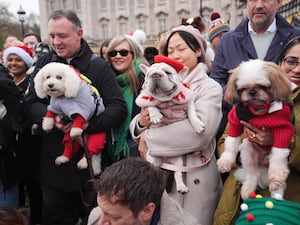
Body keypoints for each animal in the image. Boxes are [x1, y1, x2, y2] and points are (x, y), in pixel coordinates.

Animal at [217, 59, 294, 200]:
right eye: (243, 88)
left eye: (262, 86)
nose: (252, 92)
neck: (259, 110)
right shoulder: (235, 121)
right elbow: (231, 143)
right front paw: (226, 162)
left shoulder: (283, 129)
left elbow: (278, 156)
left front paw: (276, 177)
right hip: (247, 149)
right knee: (253, 173)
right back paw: (248, 189)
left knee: (279, 179)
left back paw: (277, 196)